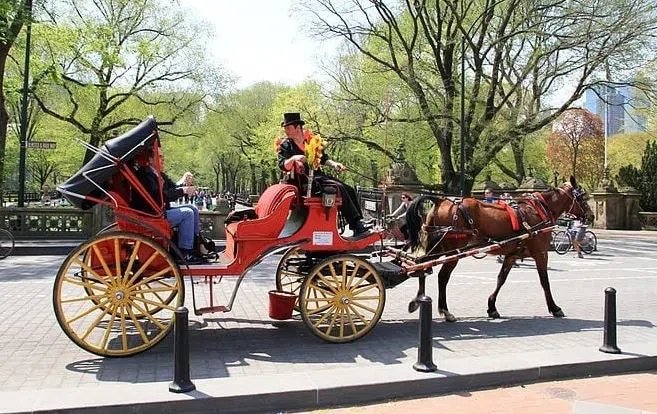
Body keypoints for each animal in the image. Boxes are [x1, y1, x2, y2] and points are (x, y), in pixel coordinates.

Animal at [404, 176, 596, 322]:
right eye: (582, 197)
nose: (591, 216)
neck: (539, 210)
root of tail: (440, 200)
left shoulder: (511, 255)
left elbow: (501, 279)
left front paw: (492, 307)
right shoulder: (540, 253)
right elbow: (545, 282)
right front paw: (554, 307)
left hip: (438, 247)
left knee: (421, 266)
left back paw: (419, 299)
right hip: (452, 251)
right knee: (441, 277)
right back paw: (444, 310)